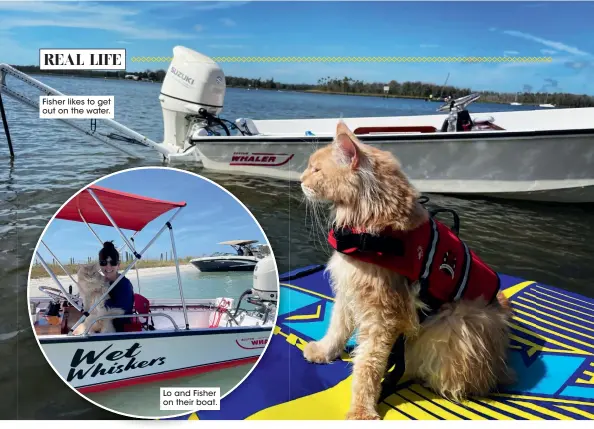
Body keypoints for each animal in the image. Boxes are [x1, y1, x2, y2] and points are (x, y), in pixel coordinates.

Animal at [298, 119, 512, 418]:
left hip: (457, 320)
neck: (372, 225)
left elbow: (368, 366)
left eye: (316, 169)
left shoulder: (383, 315)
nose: (300, 181)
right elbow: (337, 328)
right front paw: (325, 352)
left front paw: (362, 410)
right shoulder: (349, 290)